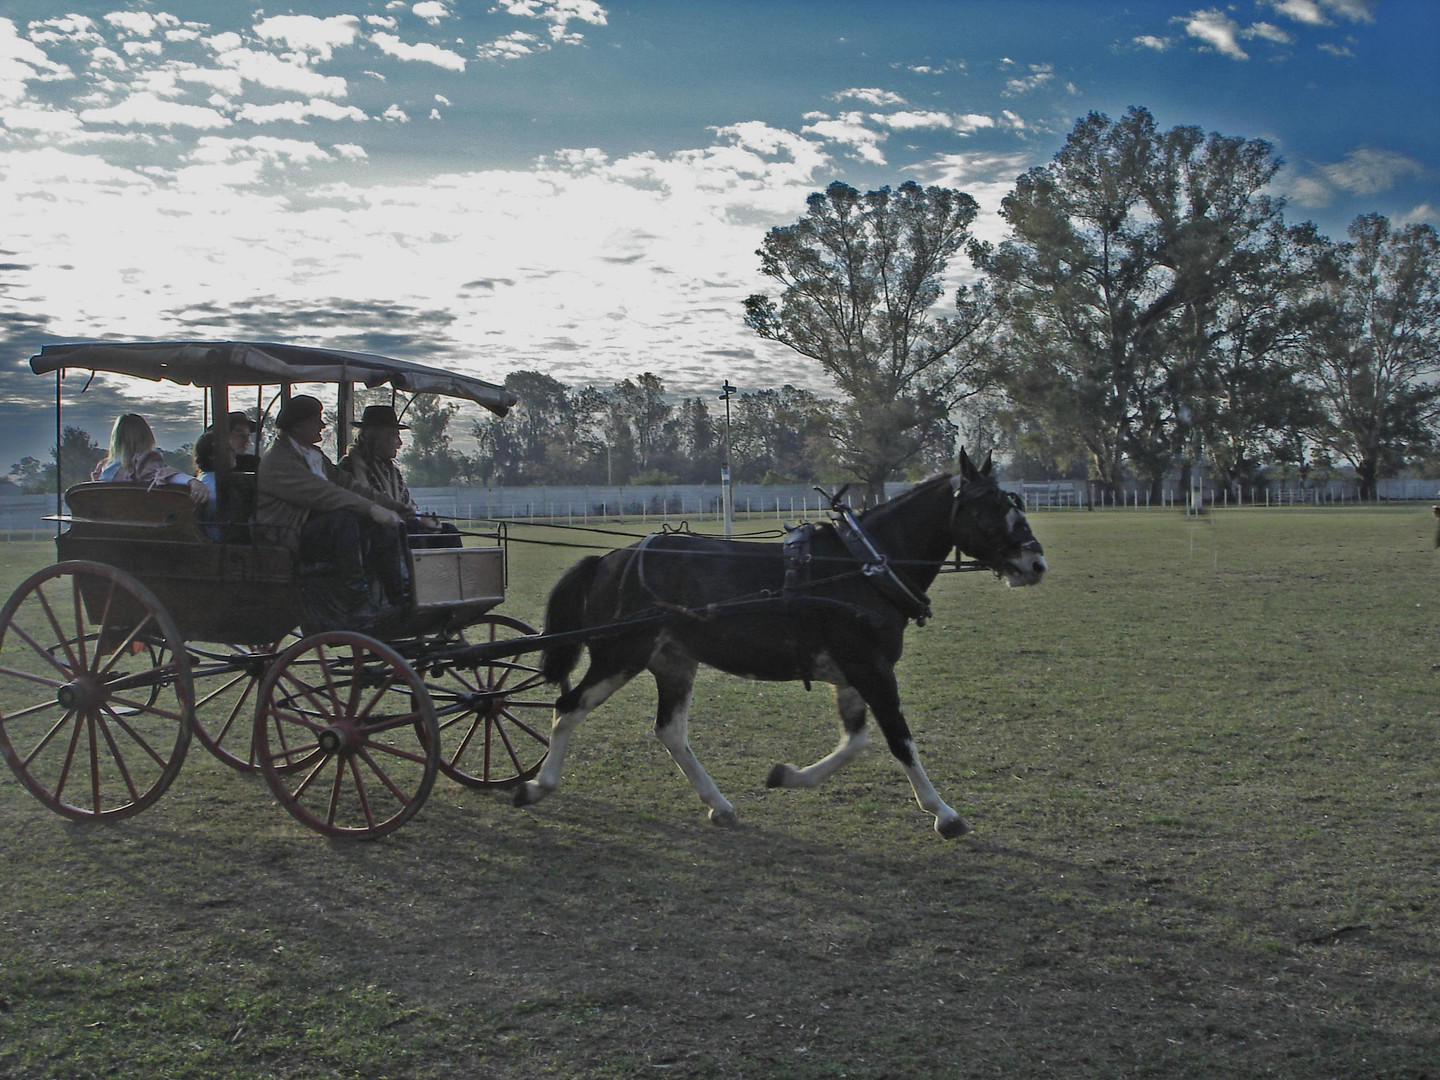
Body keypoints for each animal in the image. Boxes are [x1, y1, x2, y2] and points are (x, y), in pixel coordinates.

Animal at [518, 449, 1048, 835]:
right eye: (991, 508)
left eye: (1016, 503)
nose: (1035, 563)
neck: (863, 567)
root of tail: (609, 559)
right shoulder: (871, 668)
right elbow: (900, 740)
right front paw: (944, 813)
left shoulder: (852, 675)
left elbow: (855, 742)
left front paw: (789, 777)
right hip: (618, 656)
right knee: (567, 707)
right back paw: (537, 785)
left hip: (673, 662)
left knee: (669, 732)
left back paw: (719, 804)